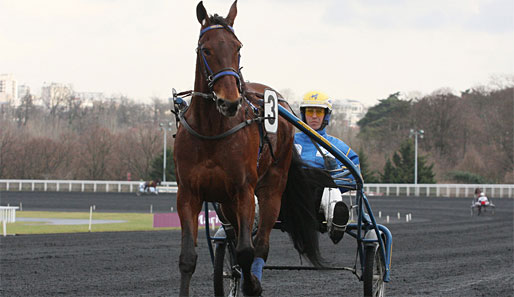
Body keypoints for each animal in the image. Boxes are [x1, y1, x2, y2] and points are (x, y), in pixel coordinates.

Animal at [174, 1, 330, 294]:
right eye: (206, 49)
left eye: (238, 47)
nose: (229, 101)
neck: (212, 131)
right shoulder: (188, 193)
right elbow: (188, 257)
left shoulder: (244, 189)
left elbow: (247, 250)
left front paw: (252, 284)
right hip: (225, 201)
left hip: (272, 188)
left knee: (261, 244)